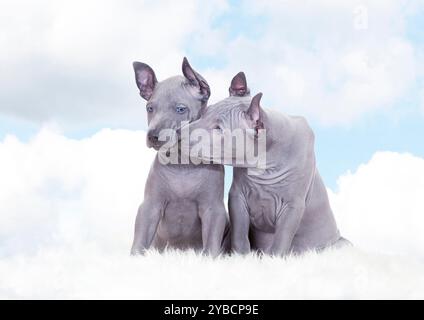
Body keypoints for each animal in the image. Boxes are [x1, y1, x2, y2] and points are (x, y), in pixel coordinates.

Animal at [130, 57, 229, 256]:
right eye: (150, 108)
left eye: (181, 109)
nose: (153, 136)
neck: (182, 164)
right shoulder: (150, 207)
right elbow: (139, 240)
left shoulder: (213, 210)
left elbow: (211, 245)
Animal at [184, 72, 350, 255]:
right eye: (205, 112)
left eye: (218, 129)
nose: (179, 133)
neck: (264, 165)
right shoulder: (237, 197)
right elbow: (240, 236)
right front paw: (242, 257)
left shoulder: (293, 206)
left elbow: (280, 241)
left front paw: (273, 258)